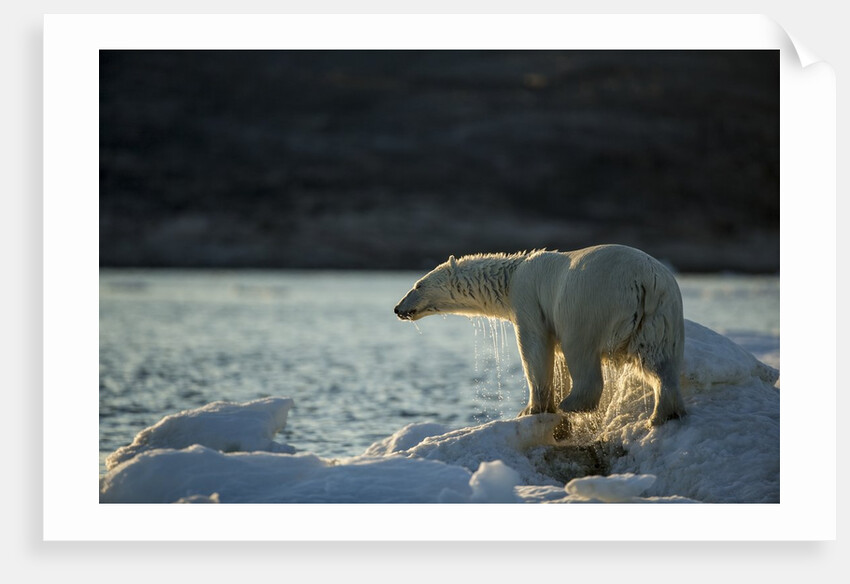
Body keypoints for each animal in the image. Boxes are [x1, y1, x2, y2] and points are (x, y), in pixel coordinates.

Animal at [394, 245, 687, 426]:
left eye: (417, 285)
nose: (398, 309)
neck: (511, 277)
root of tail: (644, 280)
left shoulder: (528, 298)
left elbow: (534, 348)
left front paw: (531, 408)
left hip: (589, 301)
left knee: (581, 350)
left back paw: (572, 404)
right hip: (661, 314)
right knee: (658, 360)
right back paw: (663, 414)